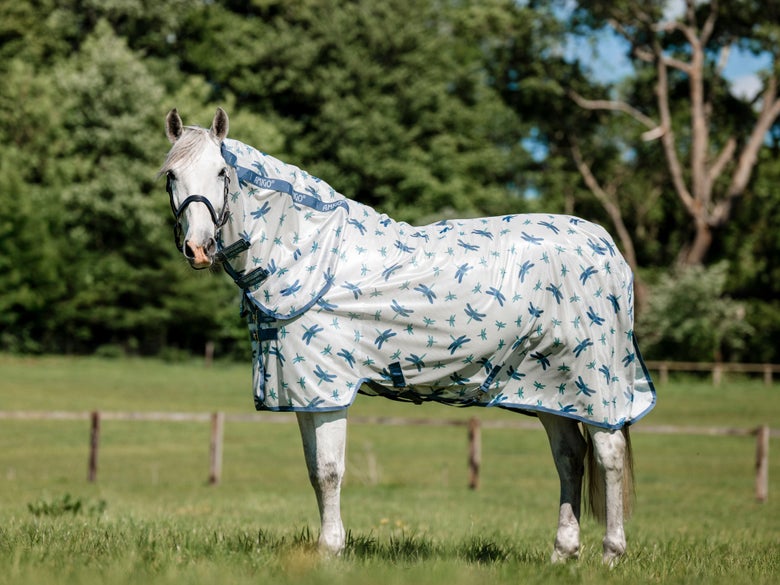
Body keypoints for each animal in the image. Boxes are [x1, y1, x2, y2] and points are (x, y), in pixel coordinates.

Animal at [160, 107, 656, 564]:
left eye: (221, 172)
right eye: (171, 175)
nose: (199, 249)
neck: (312, 255)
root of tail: (606, 247)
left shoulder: (327, 388)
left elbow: (329, 470)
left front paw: (330, 550)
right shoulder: (303, 391)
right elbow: (314, 470)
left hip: (595, 383)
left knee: (608, 454)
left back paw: (611, 554)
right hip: (550, 389)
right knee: (569, 456)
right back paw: (562, 554)